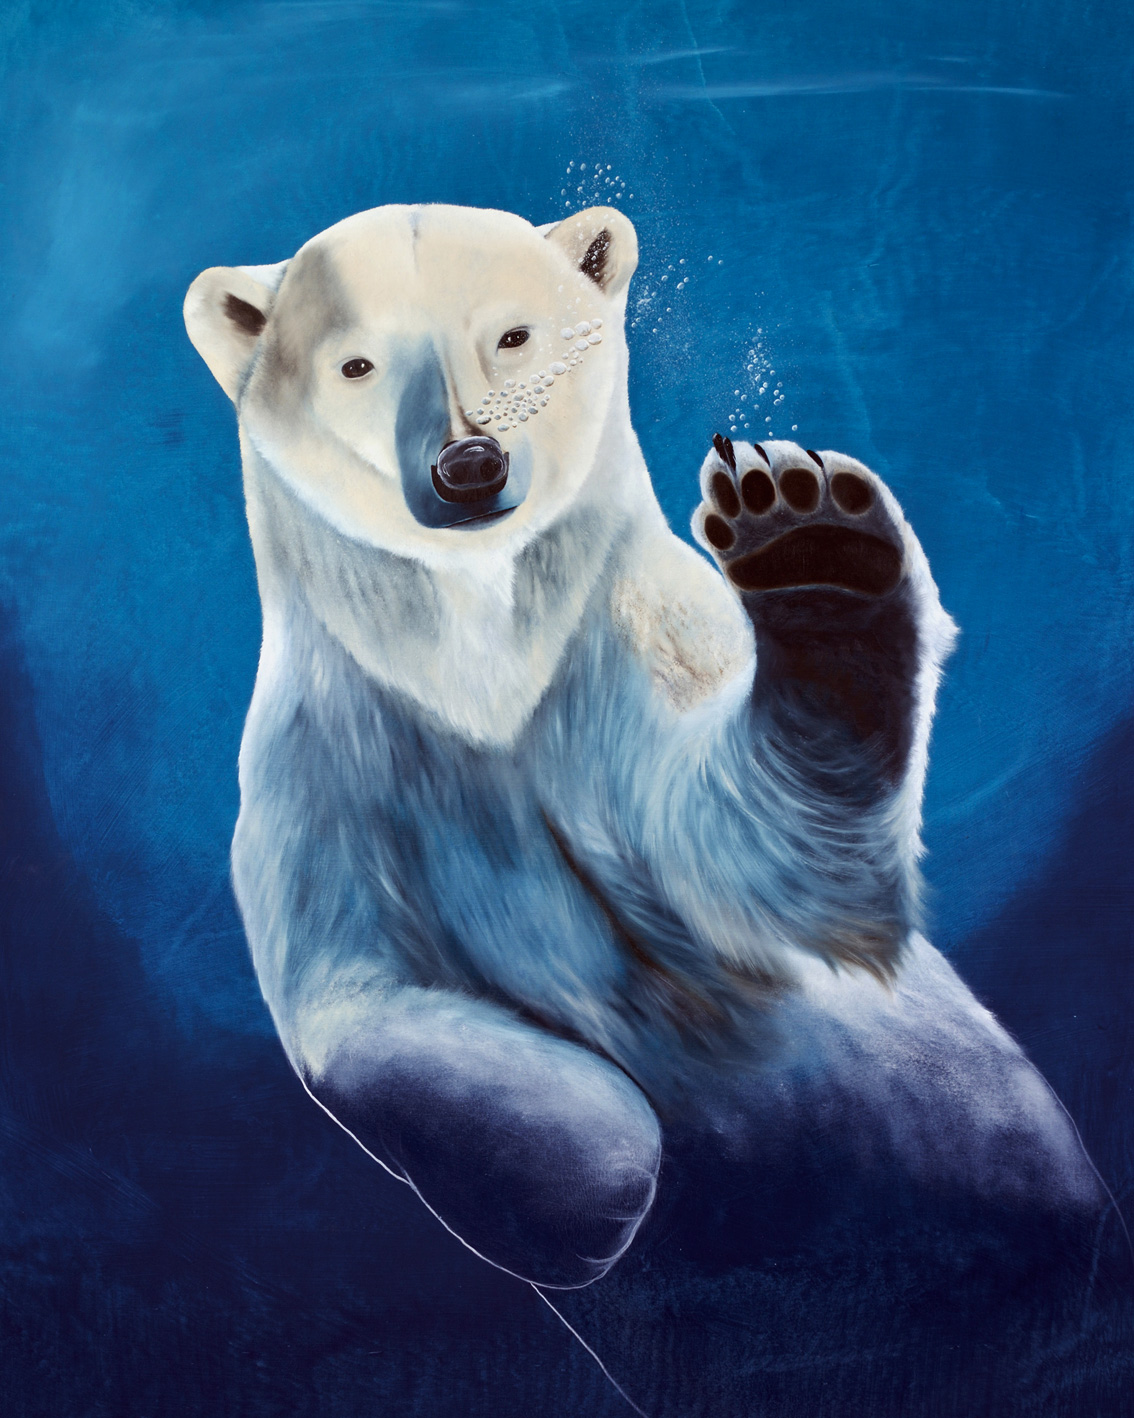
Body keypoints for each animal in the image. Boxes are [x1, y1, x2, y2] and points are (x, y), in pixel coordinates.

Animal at [183, 203, 1108, 1308]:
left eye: (514, 335)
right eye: (356, 363)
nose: (469, 465)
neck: (481, 668)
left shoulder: (635, 657)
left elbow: (758, 869)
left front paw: (810, 544)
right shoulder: (329, 765)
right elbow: (349, 1004)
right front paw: (591, 1185)